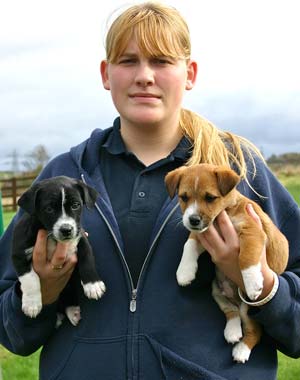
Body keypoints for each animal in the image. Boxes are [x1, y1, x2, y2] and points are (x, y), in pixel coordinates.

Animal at [11, 177, 105, 326]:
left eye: (75, 205)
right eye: (49, 209)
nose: (66, 229)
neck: (52, 238)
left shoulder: (81, 236)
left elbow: (87, 258)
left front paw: (93, 285)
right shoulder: (19, 253)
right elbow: (30, 278)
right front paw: (32, 304)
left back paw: (73, 310)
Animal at [165, 163, 290, 362]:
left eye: (210, 197)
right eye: (184, 197)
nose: (193, 220)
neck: (226, 212)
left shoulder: (252, 232)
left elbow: (246, 257)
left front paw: (253, 283)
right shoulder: (203, 233)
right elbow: (189, 244)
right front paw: (184, 272)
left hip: (248, 309)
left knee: (254, 331)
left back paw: (241, 350)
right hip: (217, 292)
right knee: (231, 312)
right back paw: (232, 332)